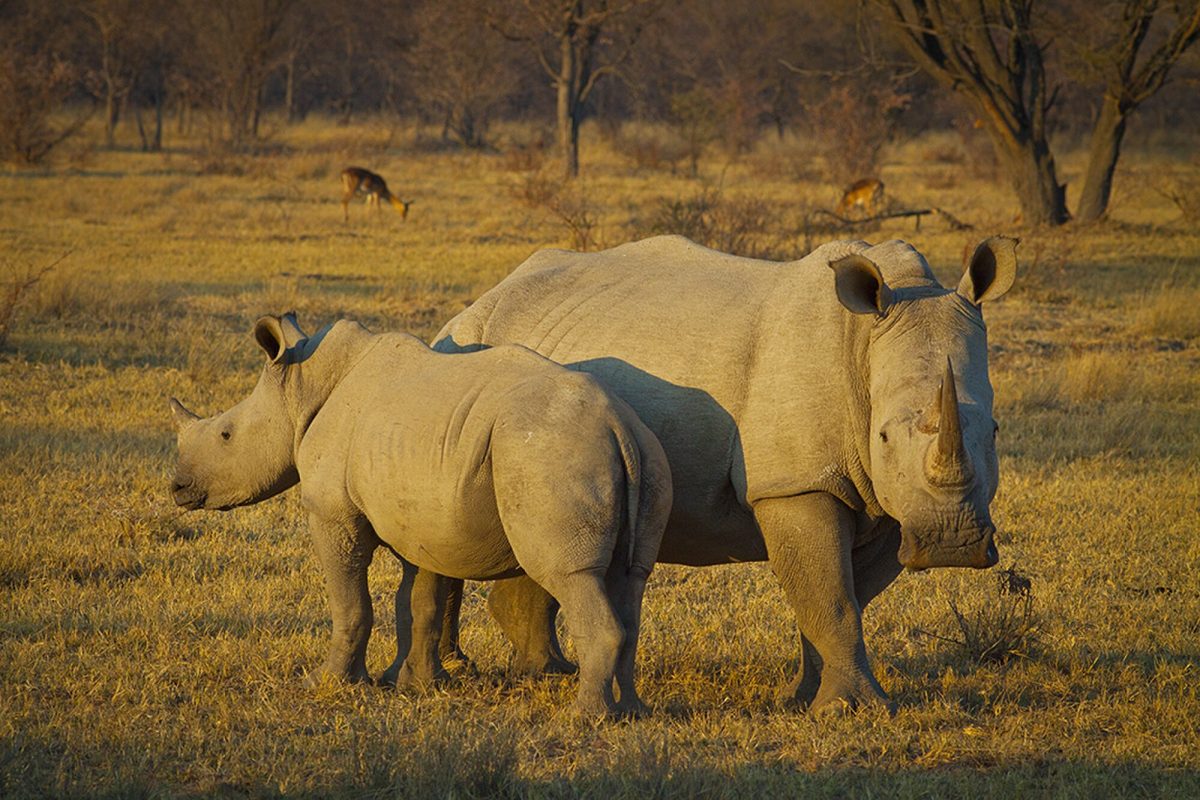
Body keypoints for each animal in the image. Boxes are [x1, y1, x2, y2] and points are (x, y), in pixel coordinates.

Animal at [168, 314, 672, 719]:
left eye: (226, 434)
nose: (177, 488)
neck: (304, 387)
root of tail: (618, 426)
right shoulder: (423, 511)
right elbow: (419, 600)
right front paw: (413, 684)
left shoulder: (333, 513)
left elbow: (351, 602)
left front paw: (328, 683)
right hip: (644, 457)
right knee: (630, 578)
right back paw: (632, 711)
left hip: (549, 453)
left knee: (569, 573)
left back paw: (586, 716)